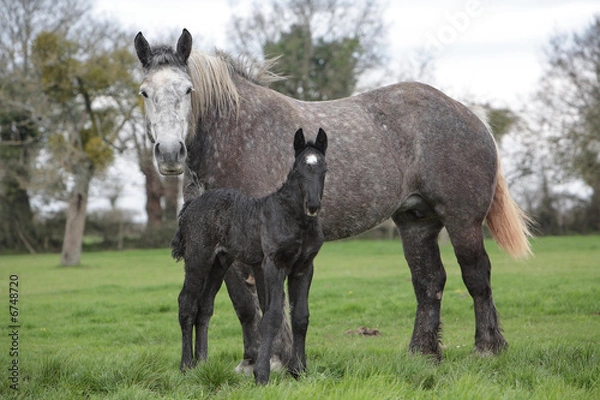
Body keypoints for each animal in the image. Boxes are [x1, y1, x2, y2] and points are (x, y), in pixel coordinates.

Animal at [171, 129, 326, 384]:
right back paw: (186, 366)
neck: (292, 217)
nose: (312, 205)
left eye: (324, 169)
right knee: (187, 304)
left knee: (205, 307)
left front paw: (299, 371)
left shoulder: (304, 267)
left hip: (219, 263)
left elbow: (300, 317)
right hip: (198, 259)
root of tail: (191, 206)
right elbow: (272, 316)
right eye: (297, 170)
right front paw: (261, 374)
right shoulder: (273, 265)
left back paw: (202, 364)